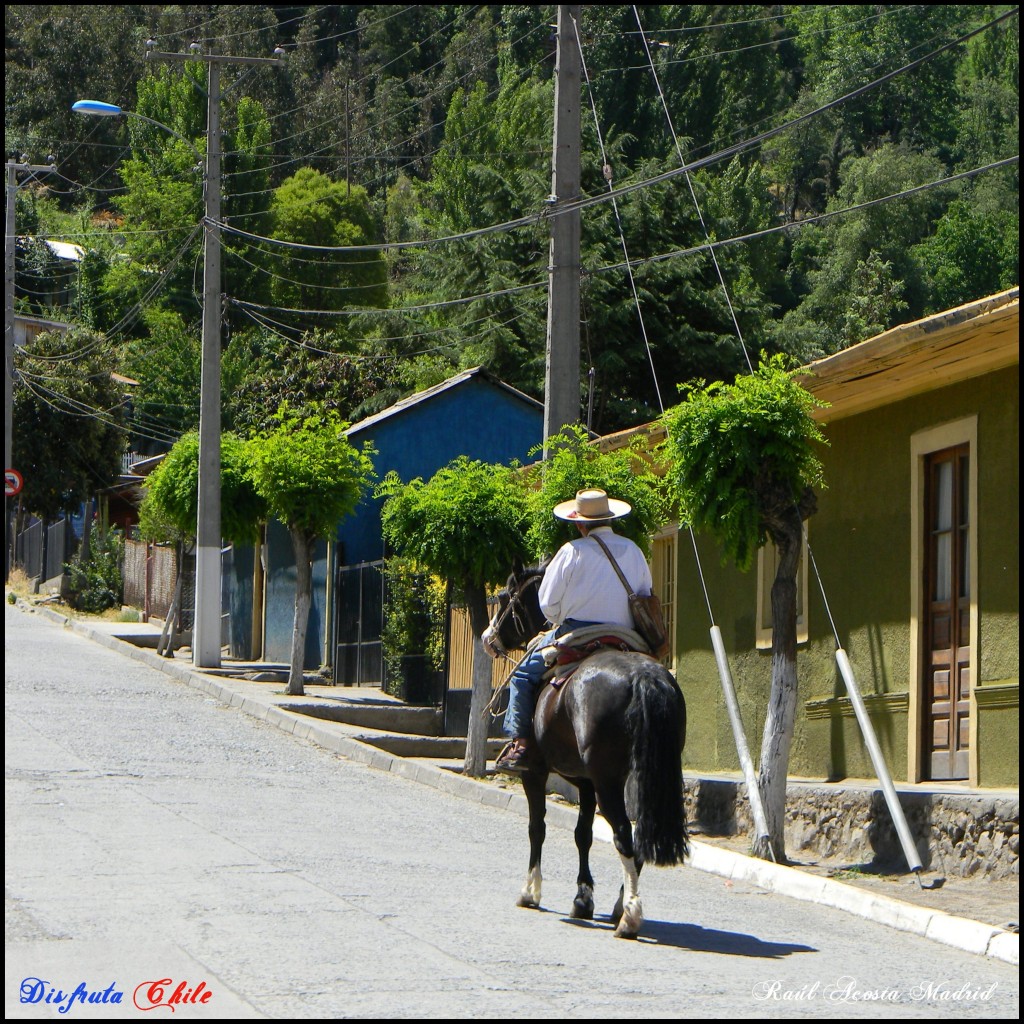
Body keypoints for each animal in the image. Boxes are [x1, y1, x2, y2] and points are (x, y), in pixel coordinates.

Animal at [487, 565, 688, 937]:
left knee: (623, 833)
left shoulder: (536, 774)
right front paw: (583, 898)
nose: (487, 637)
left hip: (609, 781)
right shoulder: (586, 783)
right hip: (645, 777)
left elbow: (537, 827)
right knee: (639, 835)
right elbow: (583, 835)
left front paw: (531, 891)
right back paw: (620, 906)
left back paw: (630, 915)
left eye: (507, 598)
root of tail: (642, 675)